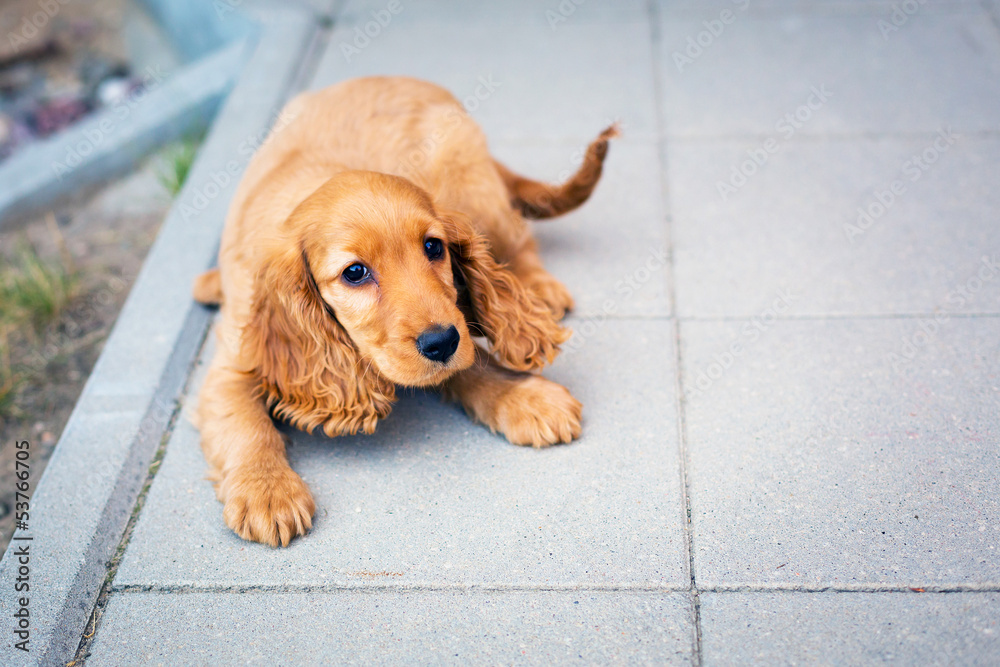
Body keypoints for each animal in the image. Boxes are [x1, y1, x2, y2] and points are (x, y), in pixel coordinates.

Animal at [190, 75, 612, 544]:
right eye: (355, 272)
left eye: (433, 247)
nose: (441, 342)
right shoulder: (232, 364)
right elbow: (245, 424)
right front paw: (267, 488)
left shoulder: (451, 326)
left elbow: (472, 362)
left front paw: (524, 396)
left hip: (472, 185)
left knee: (520, 239)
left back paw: (539, 288)